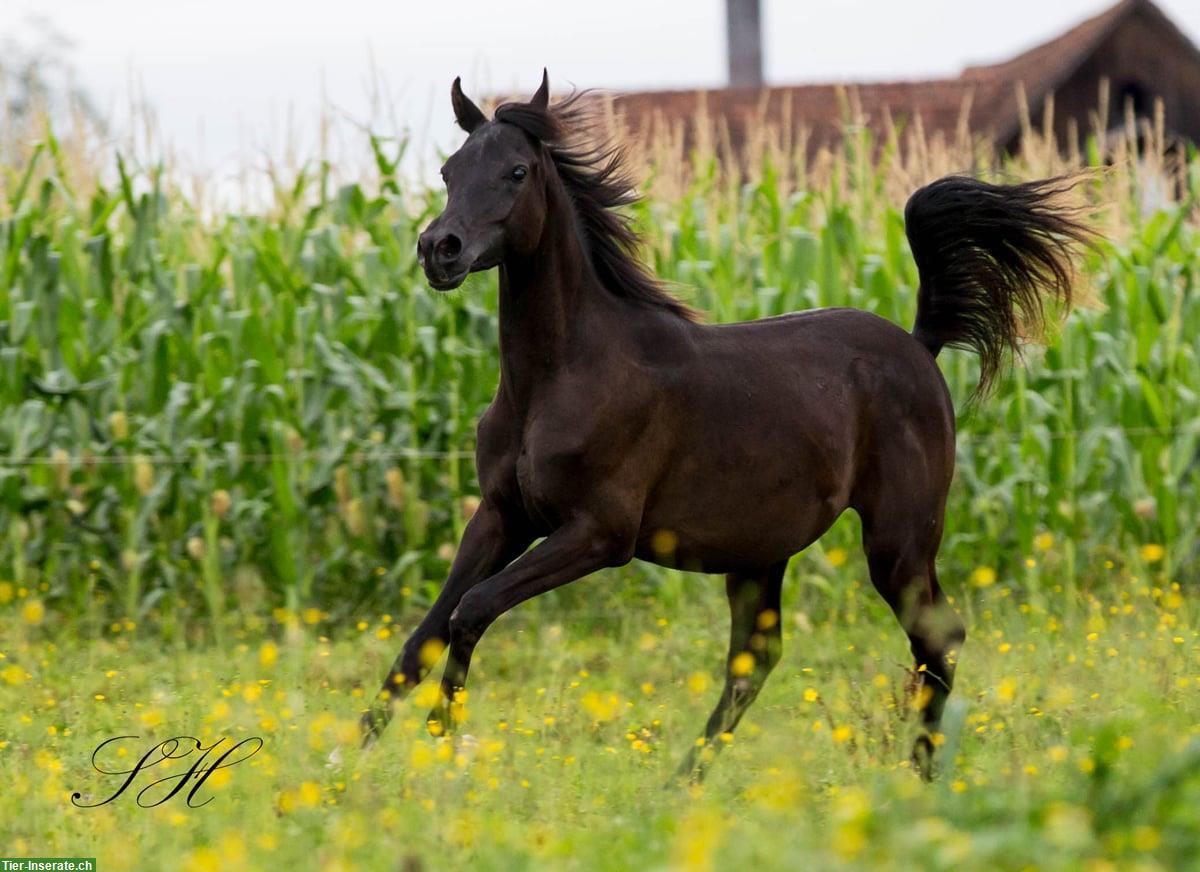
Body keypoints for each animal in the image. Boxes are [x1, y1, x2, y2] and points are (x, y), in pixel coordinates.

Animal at [360, 71, 1094, 782]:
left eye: (515, 171)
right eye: (450, 169)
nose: (439, 249)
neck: (557, 377)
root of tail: (920, 345)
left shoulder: (597, 534)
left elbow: (472, 610)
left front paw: (443, 742)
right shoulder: (500, 517)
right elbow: (423, 634)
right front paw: (354, 758)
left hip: (899, 540)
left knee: (937, 637)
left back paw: (921, 773)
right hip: (761, 552)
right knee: (757, 660)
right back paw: (686, 781)